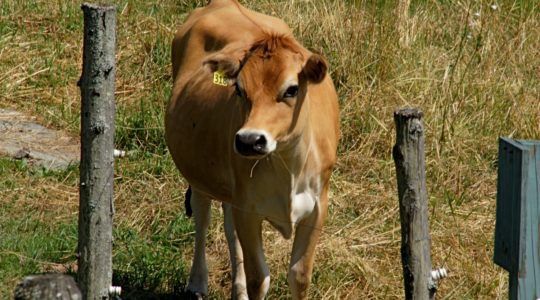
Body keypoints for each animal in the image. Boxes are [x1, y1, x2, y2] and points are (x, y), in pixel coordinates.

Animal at [167, 1, 340, 298]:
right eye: (239, 89)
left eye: (291, 89)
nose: (249, 140)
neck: (288, 165)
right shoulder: (248, 208)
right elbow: (259, 278)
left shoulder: (319, 206)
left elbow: (299, 276)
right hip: (199, 175)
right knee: (202, 217)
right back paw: (198, 282)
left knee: (229, 230)